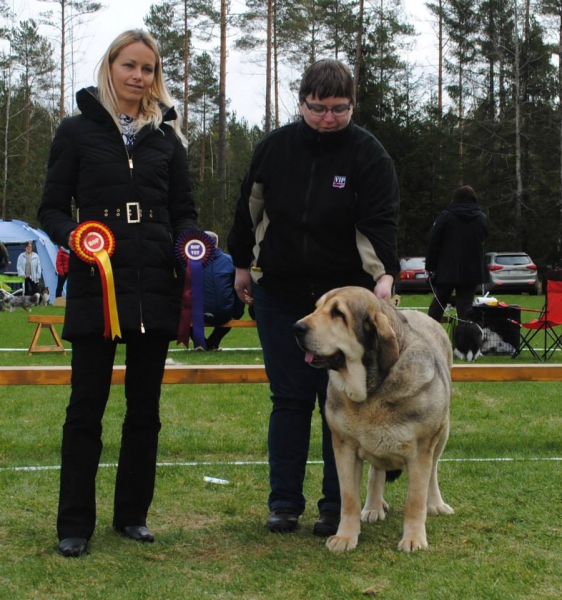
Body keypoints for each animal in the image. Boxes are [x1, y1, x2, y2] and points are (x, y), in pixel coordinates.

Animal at [290, 286, 452, 552]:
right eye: (316, 308)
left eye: (338, 313)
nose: (296, 327)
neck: (371, 390)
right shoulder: (344, 447)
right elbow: (349, 498)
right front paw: (345, 537)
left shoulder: (420, 450)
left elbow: (415, 500)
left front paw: (413, 539)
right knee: (376, 471)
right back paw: (374, 507)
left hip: (442, 433)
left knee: (434, 471)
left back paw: (436, 504)